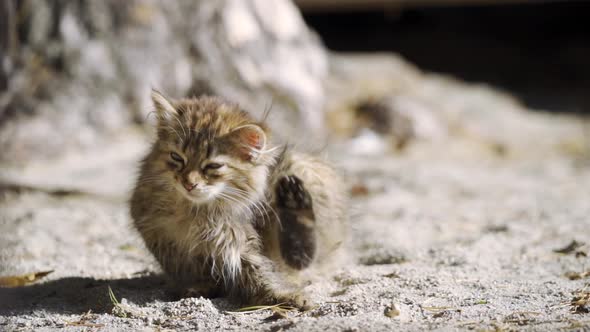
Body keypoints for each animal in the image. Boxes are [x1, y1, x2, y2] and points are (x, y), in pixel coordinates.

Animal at [132, 91, 350, 308]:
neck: (195, 213)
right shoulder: (164, 241)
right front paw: (198, 287)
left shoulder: (238, 242)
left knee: (303, 260)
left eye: (213, 166)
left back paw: (294, 205)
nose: (189, 184)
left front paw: (284, 297)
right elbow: (192, 274)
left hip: (300, 169)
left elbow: (259, 275)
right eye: (177, 158)